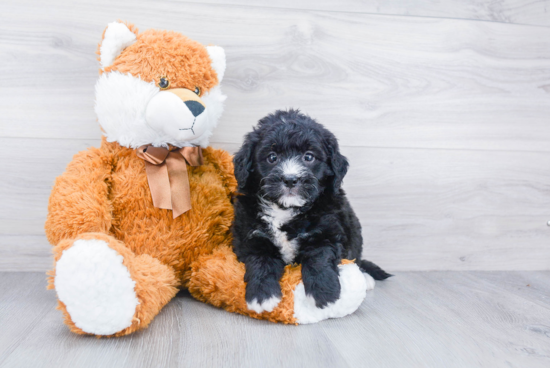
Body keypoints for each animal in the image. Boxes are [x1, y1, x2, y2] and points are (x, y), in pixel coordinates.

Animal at [233, 109, 392, 314]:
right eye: (272, 157)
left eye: (308, 157)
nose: (290, 179)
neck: (286, 210)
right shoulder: (251, 236)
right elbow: (261, 261)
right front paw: (262, 295)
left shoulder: (326, 232)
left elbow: (319, 258)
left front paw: (325, 294)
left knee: (356, 259)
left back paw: (365, 277)